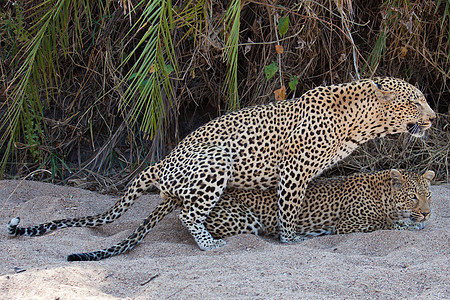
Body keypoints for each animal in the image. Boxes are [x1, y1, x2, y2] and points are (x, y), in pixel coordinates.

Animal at [7, 77, 436, 260]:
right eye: (415, 102)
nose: (434, 118)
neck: (359, 123)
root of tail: (160, 165)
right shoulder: (294, 169)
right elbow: (289, 208)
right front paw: (291, 239)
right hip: (217, 162)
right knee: (190, 214)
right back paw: (211, 244)